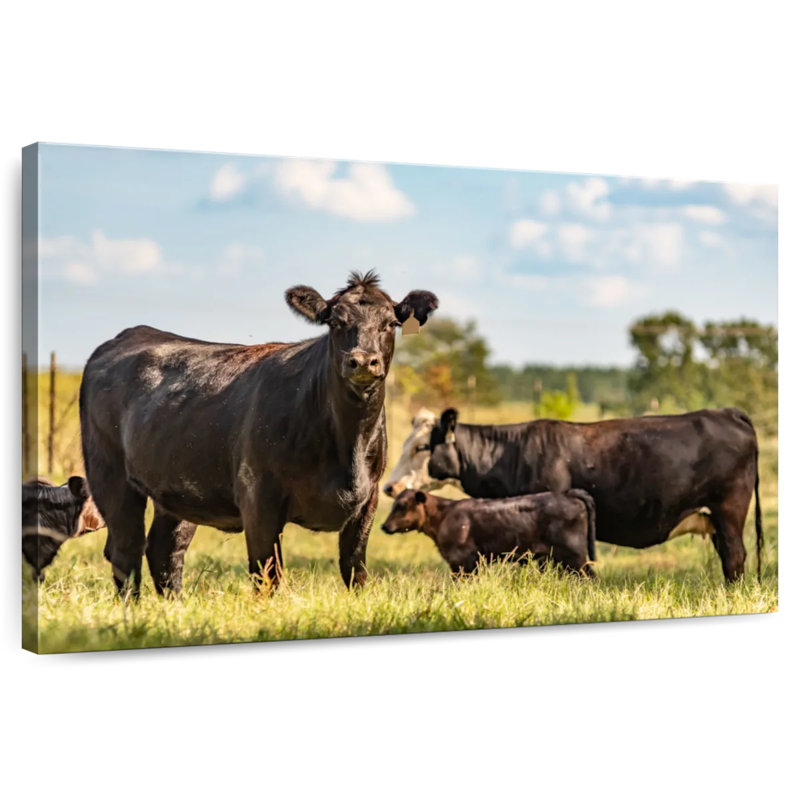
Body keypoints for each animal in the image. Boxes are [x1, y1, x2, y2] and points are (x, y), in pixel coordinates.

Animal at [79, 271, 438, 596]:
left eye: (390, 324)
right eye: (335, 323)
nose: (363, 361)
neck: (347, 445)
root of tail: (130, 334)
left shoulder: (368, 498)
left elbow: (355, 571)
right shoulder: (258, 497)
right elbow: (267, 575)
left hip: (179, 485)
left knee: (165, 550)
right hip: (110, 473)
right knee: (126, 550)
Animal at [381, 488, 596, 576]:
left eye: (402, 506)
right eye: (394, 505)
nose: (384, 526)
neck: (444, 515)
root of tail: (567, 494)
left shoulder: (464, 560)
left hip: (574, 555)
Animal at [427, 407, 764, 582]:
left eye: (421, 447)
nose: (400, 486)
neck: (512, 452)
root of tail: (726, 412)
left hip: (729, 509)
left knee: (734, 556)